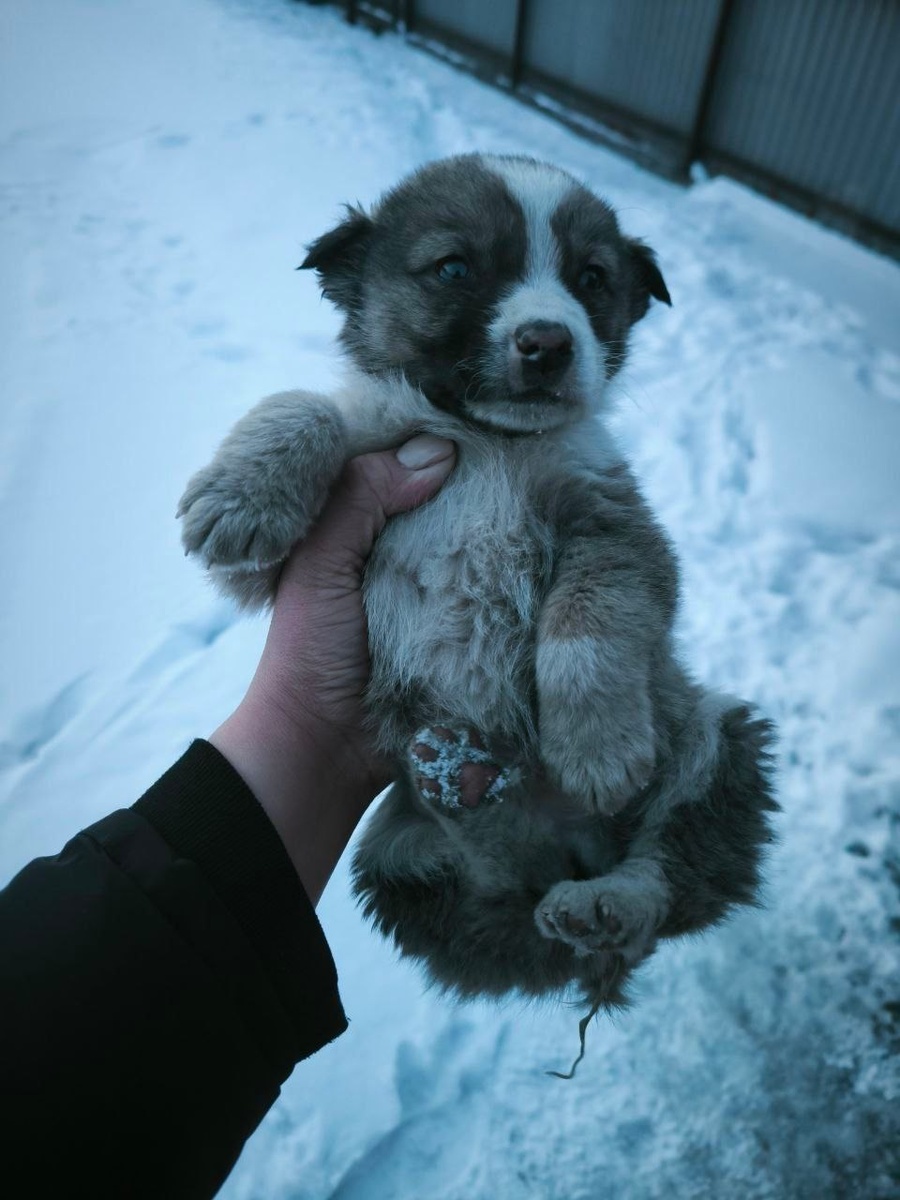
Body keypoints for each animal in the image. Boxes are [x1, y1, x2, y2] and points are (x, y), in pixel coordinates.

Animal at [178, 154, 777, 1030]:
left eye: (592, 279)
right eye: (455, 269)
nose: (548, 342)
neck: (488, 441)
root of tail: (573, 853)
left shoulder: (619, 529)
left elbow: (590, 624)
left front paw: (597, 745)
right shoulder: (302, 562)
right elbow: (308, 406)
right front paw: (243, 494)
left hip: (721, 737)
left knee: (669, 882)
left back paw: (603, 903)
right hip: (391, 866)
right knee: (497, 904)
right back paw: (457, 782)